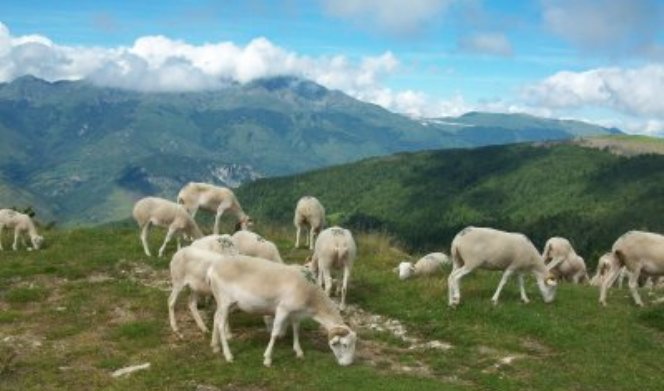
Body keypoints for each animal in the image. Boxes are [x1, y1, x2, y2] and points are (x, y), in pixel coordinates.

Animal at [208, 256, 358, 370]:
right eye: (344, 345)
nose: (348, 364)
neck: (311, 297)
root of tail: (213, 268)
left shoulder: (295, 313)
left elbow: (296, 330)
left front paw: (299, 352)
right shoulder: (283, 309)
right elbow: (275, 333)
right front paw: (267, 359)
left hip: (223, 302)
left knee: (216, 318)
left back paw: (215, 346)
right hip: (225, 301)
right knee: (220, 324)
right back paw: (228, 355)